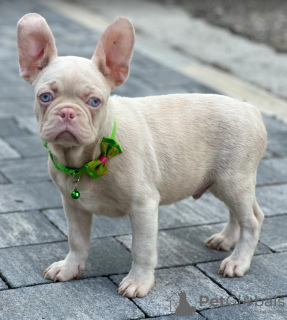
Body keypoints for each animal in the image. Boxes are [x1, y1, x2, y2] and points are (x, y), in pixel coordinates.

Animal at [16, 12, 268, 298]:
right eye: (45, 97)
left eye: (95, 102)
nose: (67, 112)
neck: (88, 158)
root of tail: (251, 109)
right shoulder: (73, 205)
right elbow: (77, 240)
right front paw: (69, 268)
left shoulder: (143, 206)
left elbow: (142, 249)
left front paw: (138, 282)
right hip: (220, 181)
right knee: (239, 213)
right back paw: (226, 239)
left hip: (233, 180)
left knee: (252, 220)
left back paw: (238, 261)